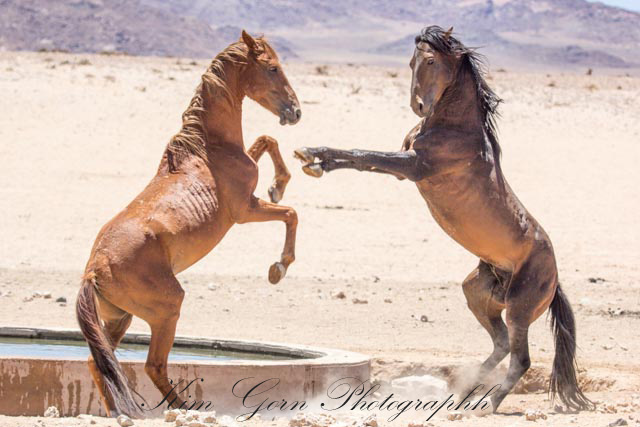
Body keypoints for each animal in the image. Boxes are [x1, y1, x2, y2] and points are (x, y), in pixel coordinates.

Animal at [76, 31, 301, 417]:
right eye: (272, 67)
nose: (295, 111)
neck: (206, 149)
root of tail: (94, 270)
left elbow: (266, 141)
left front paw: (279, 182)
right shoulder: (245, 211)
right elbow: (291, 213)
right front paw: (279, 268)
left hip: (119, 319)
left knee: (100, 361)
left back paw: (121, 413)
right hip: (166, 310)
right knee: (153, 365)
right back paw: (184, 408)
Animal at [294, 26, 594, 413]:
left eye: (432, 61)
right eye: (411, 62)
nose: (419, 106)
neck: (455, 127)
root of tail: (555, 280)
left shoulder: (412, 166)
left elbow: (362, 155)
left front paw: (312, 155)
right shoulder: (403, 164)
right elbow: (363, 158)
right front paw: (312, 158)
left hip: (519, 308)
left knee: (520, 358)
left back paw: (487, 403)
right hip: (478, 293)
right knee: (500, 344)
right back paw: (463, 394)